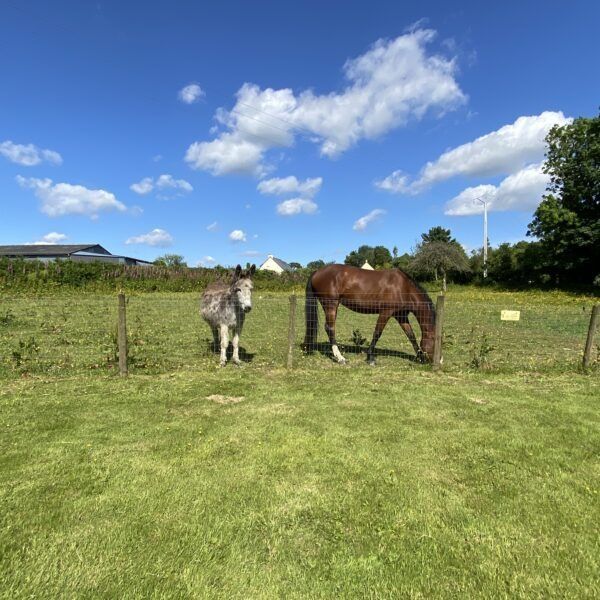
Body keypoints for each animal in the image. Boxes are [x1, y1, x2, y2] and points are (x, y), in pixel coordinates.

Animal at [304, 264, 436, 366]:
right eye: (435, 341)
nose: (435, 362)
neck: (404, 287)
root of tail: (317, 272)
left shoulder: (401, 316)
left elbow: (411, 335)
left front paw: (420, 357)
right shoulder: (386, 312)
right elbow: (377, 333)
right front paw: (370, 358)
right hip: (331, 305)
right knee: (330, 328)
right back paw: (340, 358)